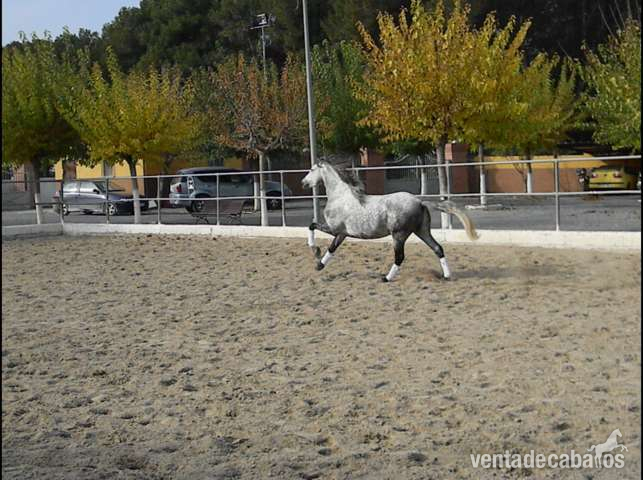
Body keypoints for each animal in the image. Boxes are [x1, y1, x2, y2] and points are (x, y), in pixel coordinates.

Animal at [301, 159, 479, 282]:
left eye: (311, 169)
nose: (303, 183)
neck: (340, 196)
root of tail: (419, 201)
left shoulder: (335, 230)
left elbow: (312, 226)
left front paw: (315, 251)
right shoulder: (342, 234)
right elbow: (332, 248)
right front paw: (319, 265)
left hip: (399, 235)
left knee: (400, 257)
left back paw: (386, 278)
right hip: (421, 231)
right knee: (438, 248)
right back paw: (447, 276)